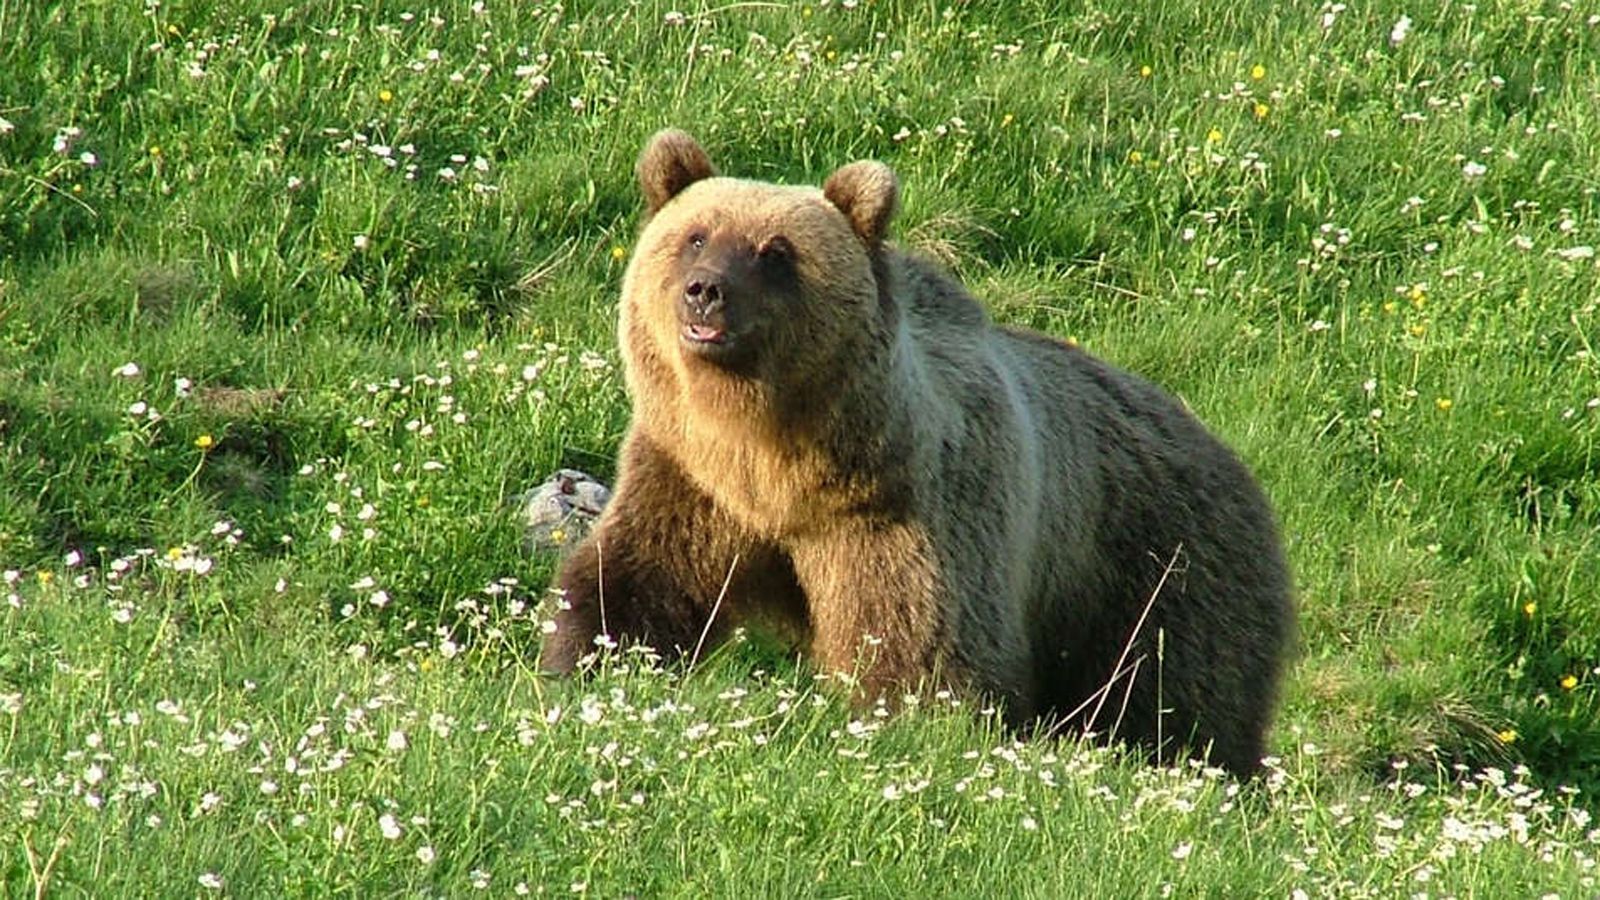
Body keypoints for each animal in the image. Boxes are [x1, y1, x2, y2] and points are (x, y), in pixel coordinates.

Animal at [544, 129, 1292, 775]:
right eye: (694, 235)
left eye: (775, 251)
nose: (706, 290)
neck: (776, 463)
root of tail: (1229, 458)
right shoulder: (691, 478)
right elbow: (638, 579)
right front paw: (584, 659)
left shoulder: (905, 511)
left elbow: (917, 644)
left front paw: (900, 720)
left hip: (1157, 569)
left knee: (1176, 694)